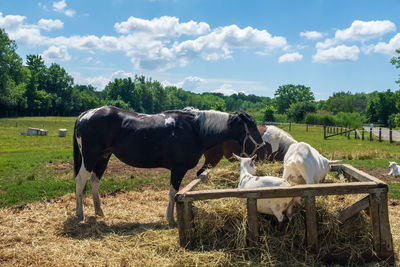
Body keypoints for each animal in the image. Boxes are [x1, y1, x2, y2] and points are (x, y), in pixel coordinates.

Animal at [73, 105, 264, 225]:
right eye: (251, 126)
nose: (261, 147)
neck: (195, 130)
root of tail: (86, 114)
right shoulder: (178, 169)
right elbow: (173, 193)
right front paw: (171, 219)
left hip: (103, 157)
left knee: (94, 181)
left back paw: (99, 211)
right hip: (90, 158)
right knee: (81, 181)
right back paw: (80, 214)